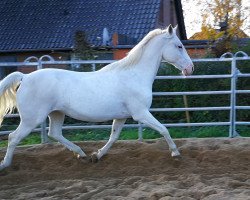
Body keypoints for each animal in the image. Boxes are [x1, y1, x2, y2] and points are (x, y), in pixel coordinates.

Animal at [0, 24, 193, 170]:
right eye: (179, 46)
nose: (190, 68)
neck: (134, 75)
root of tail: (25, 77)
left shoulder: (122, 117)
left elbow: (113, 137)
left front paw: (97, 155)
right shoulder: (141, 113)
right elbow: (163, 129)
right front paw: (176, 153)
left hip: (56, 113)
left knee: (54, 133)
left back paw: (82, 154)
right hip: (31, 119)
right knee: (13, 137)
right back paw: (5, 165)